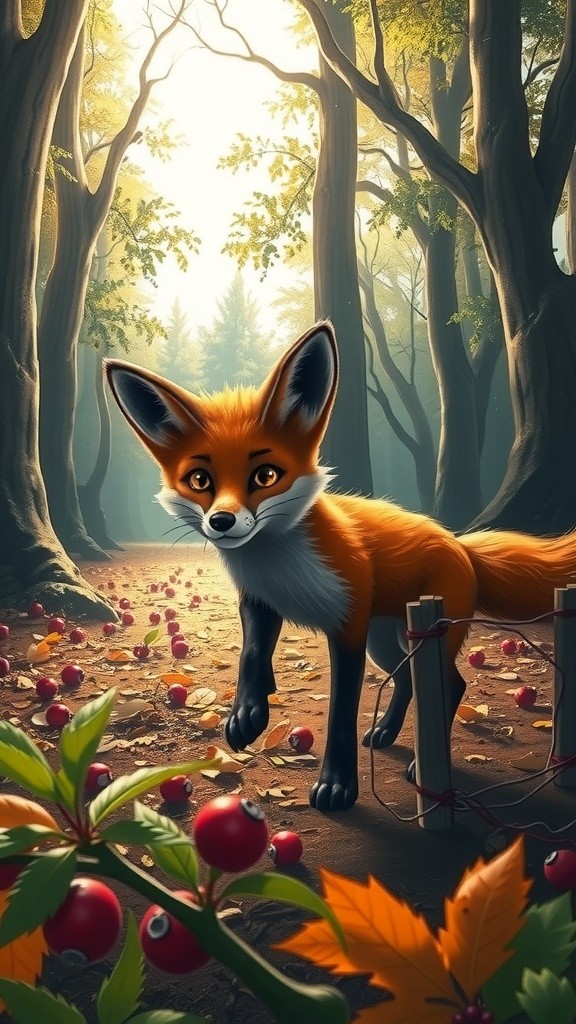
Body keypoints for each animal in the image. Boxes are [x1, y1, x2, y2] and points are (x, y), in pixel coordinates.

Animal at [104, 321, 576, 812]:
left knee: (451, 686)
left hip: (423, 634)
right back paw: (386, 733)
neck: (279, 566)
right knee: (411, 681)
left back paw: (421, 765)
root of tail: (460, 543)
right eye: (200, 481)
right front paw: (248, 713)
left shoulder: (348, 627)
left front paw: (337, 786)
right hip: (387, 642)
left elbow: (341, 712)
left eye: (265, 476)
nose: (221, 522)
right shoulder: (260, 602)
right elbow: (251, 656)